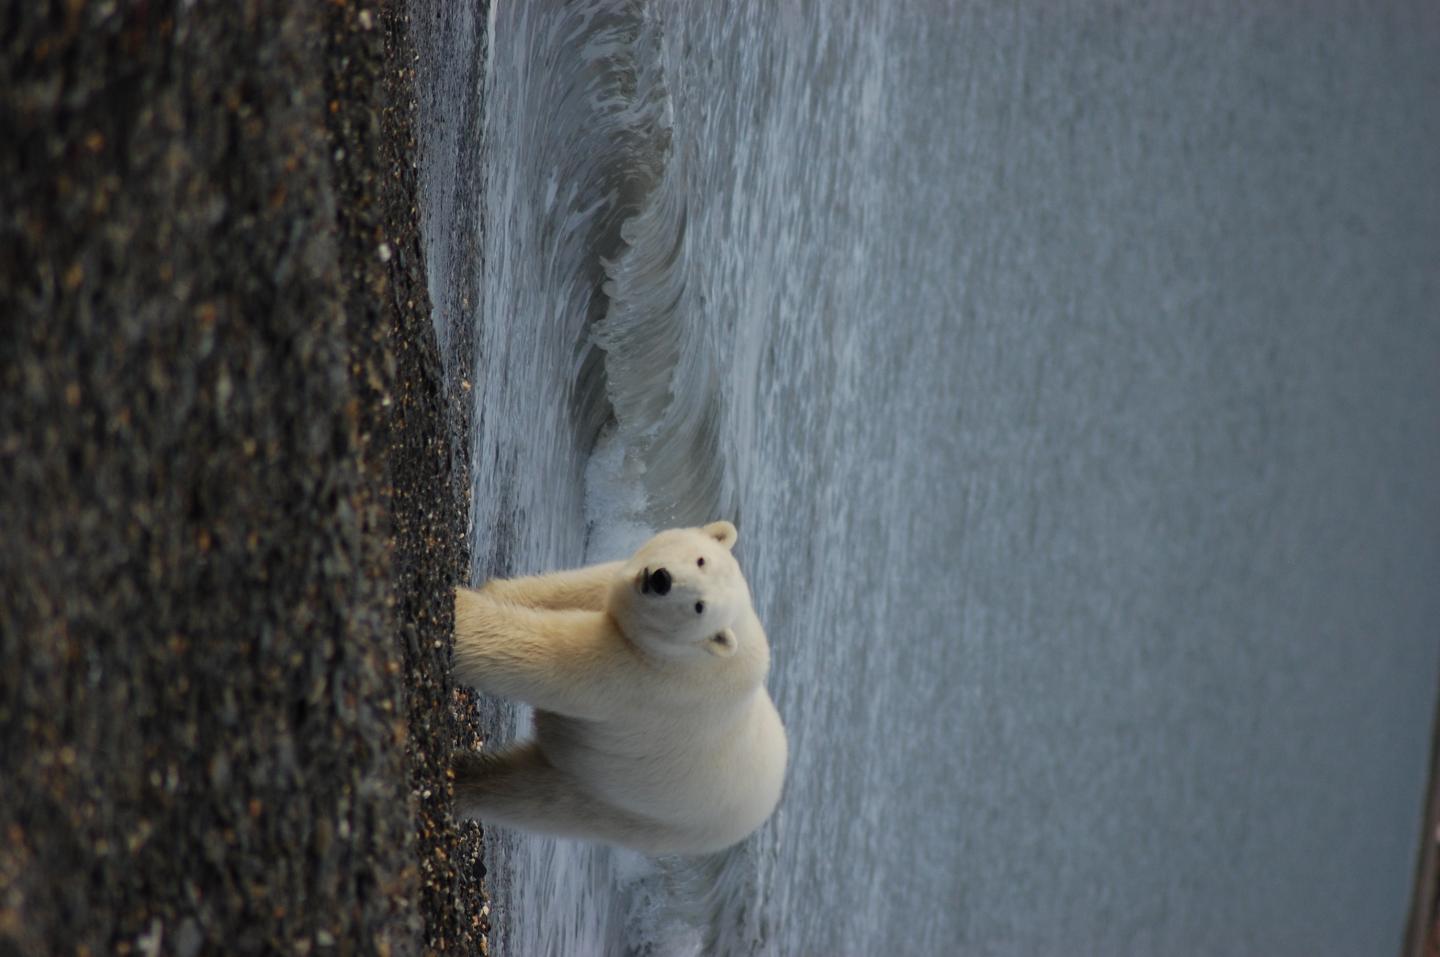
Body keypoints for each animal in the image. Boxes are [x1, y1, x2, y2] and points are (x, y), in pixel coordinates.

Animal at [450, 520, 787, 856]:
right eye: (701, 560)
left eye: (699, 607)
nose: (661, 579)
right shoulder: (612, 586)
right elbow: (560, 592)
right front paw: (486, 592)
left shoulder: (646, 678)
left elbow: (548, 654)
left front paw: (460, 610)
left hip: (635, 809)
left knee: (538, 797)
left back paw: (462, 784)